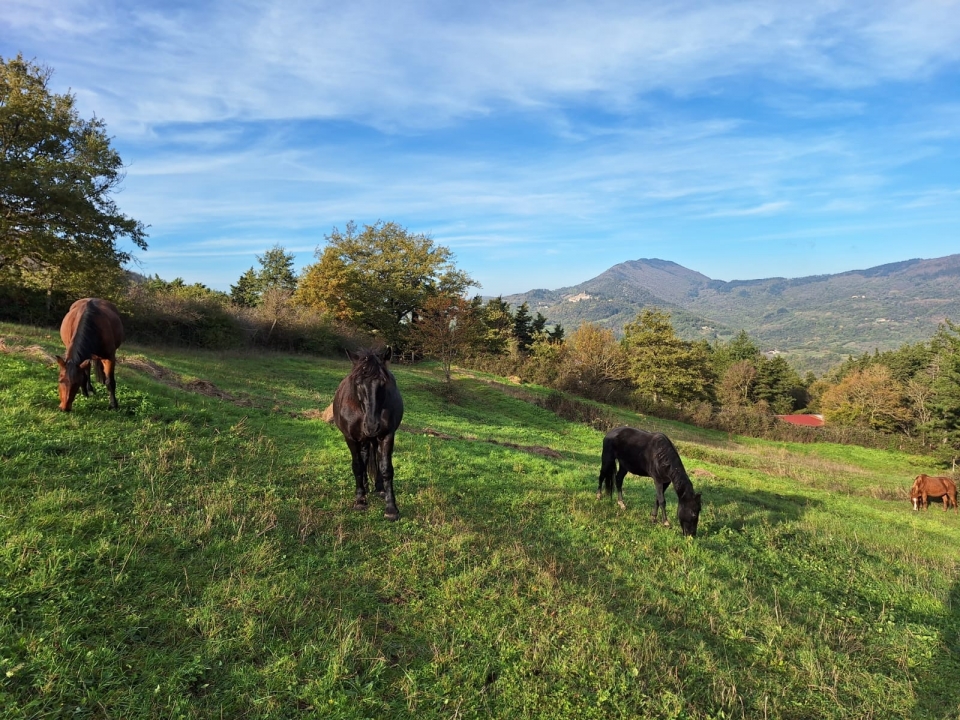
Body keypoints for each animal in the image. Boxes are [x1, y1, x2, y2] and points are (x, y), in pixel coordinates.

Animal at [332, 347, 404, 521]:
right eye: (358, 383)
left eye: (383, 382)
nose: (372, 425)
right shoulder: (350, 438)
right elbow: (357, 466)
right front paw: (360, 500)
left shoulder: (387, 435)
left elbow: (386, 468)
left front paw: (391, 508)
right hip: (362, 438)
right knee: (363, 459)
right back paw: (364, 485)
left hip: (373, 438)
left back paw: (379, 488)